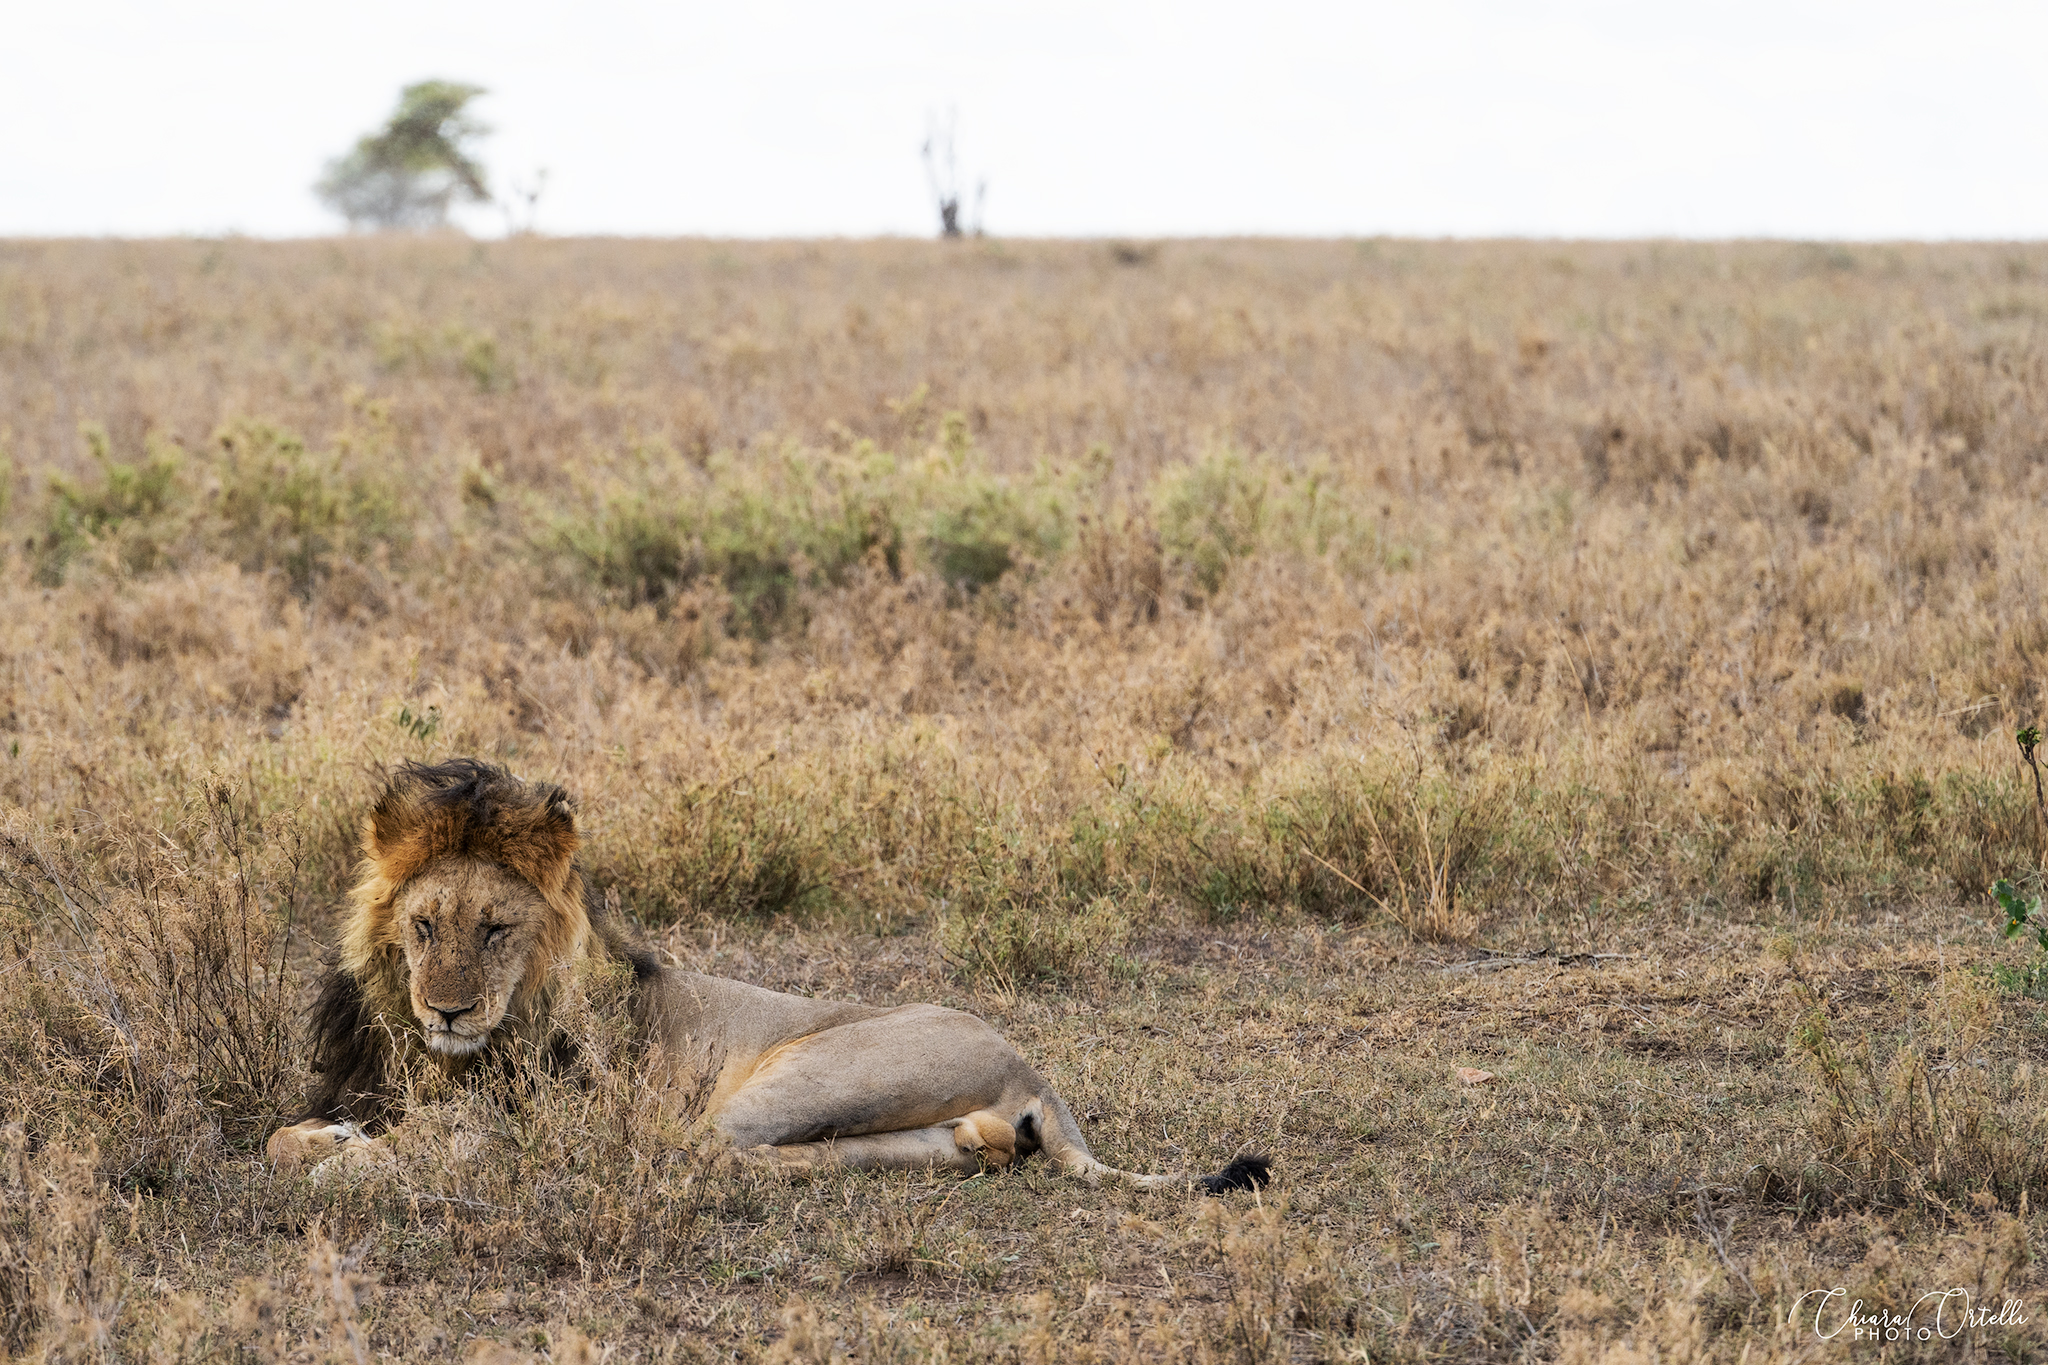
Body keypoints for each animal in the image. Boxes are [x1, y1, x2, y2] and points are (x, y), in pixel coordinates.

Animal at [266, 759, 1270, 1194]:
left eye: (497, 928)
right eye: (423, 924)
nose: (447, 1010)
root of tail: (1033, 1070)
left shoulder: (524, 1121)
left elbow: (413, 1146)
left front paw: (349, 1158)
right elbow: (283, 1137)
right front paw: (331, 1138)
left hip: (781, 1083)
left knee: (705, 1148)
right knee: (937, 1147)